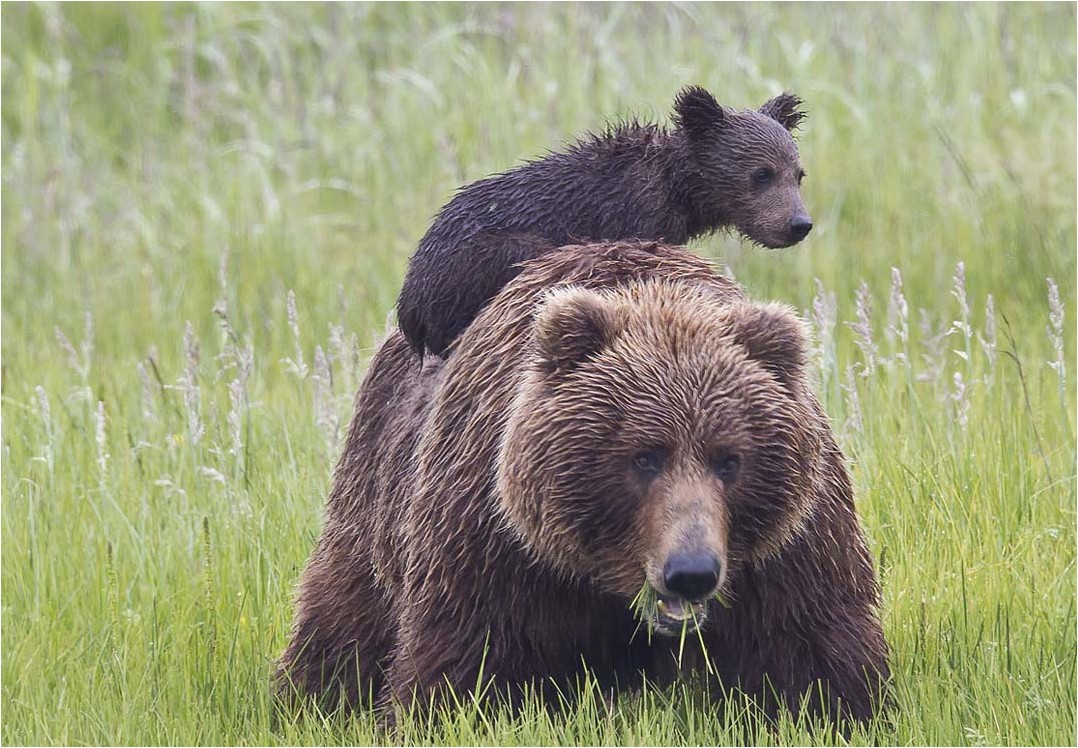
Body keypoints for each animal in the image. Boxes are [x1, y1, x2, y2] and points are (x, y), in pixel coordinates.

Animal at [275, 241, 883, 728]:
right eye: (644, 456)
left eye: (729, 459)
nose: (691, 571)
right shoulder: (495, 547)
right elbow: (463, 665)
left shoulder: (786, 549)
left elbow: (812, 652)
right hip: (375, 491)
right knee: (343, 615)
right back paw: (308, 698)